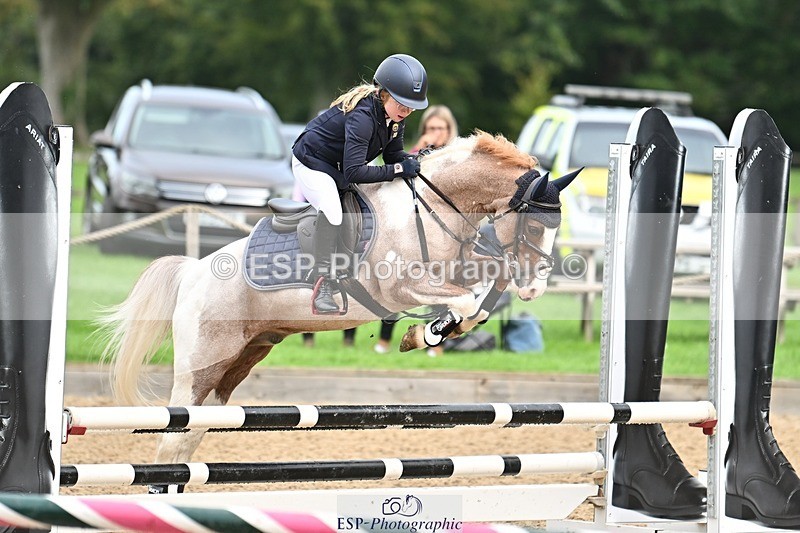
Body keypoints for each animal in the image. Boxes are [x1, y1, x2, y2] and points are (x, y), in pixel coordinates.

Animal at [100, 131, 578, 471]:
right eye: (537, 227)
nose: (534, 289)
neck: (433, 206)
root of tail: (192, 273)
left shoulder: (460, 266)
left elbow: (478, 297)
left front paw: (431, 332)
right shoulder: (400, 288)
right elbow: (465, 303)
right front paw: (425, 333)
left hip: (236, 364)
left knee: (190, 437)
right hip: (201, 367)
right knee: (172, 438)